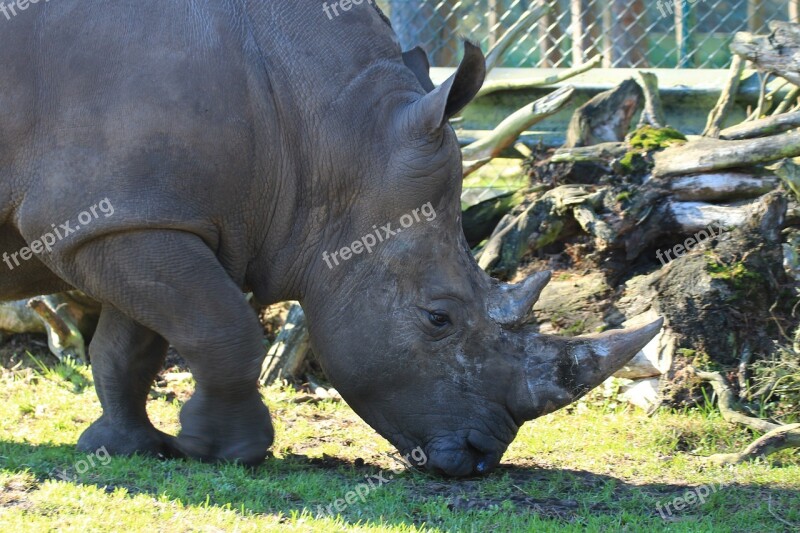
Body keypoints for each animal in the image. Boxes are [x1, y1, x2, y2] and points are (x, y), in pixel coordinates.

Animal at [0, 0, 664, 474]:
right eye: (438, 319)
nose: (482, 458)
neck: (326, 131)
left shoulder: (143, 216)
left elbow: (132, 344)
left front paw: (126, 447)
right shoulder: (107, 217)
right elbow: (222, 326)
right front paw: (226, 451)